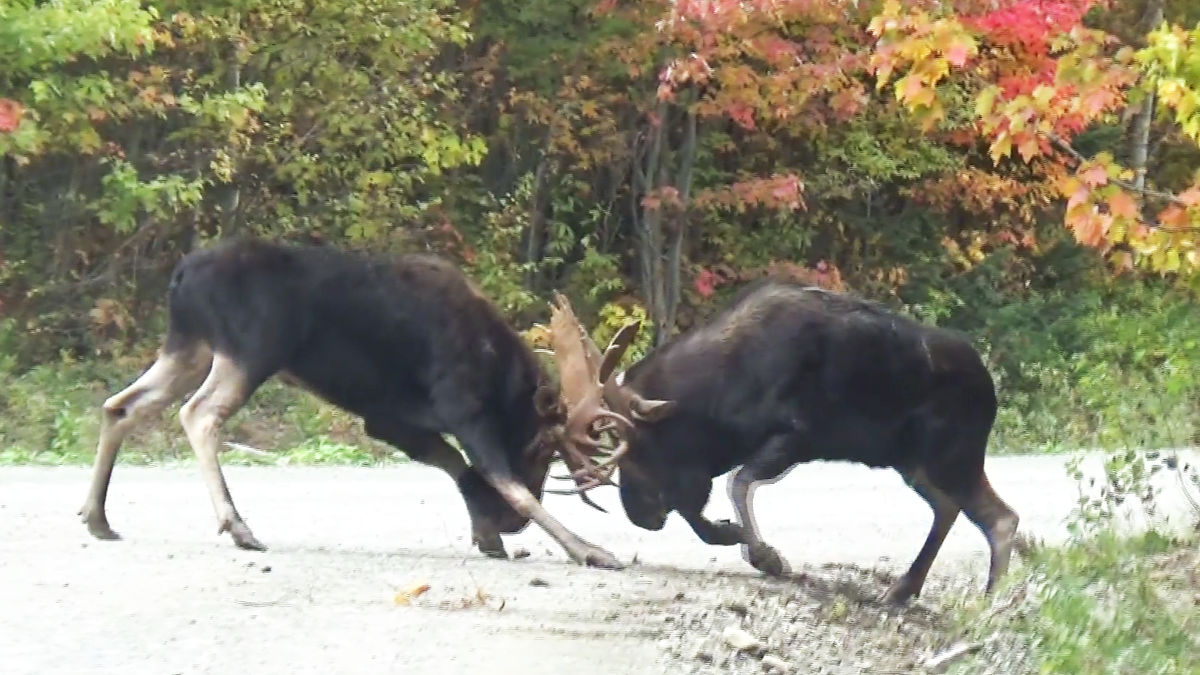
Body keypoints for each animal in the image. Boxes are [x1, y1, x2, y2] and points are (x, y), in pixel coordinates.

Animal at [78, 237, 652, 566]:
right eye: (541, 449)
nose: (509, 530)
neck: (502, 378)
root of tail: (181, 277)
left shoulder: (388, 419)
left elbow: (458, 469)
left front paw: (488, 534)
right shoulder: (462, 406)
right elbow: (502, 480)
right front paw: (589, 550)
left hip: (188, 345)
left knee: (120, 405)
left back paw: (98, 516)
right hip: (251, 349)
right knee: (197, 414)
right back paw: (237, 525)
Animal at [549, 278, 1017, 598]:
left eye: (640, 446)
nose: (639, 515)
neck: (716, 398)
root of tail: (990, 386)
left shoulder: (795, 436)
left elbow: (736, 484)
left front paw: (766, 556)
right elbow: (702, 516)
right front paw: (736, 537)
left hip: (950, 456)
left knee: (1000, 518)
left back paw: (988, 601)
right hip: (914, 463)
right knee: (952, 509)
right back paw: (904, 589)